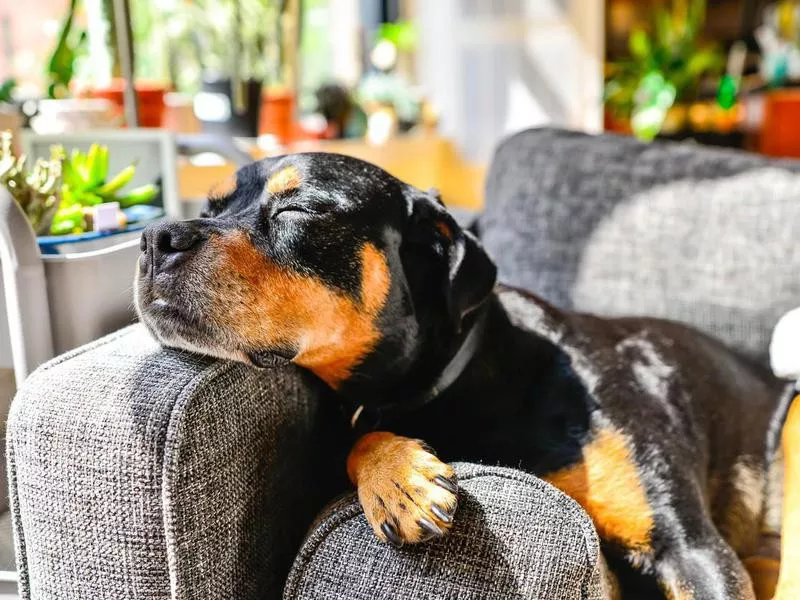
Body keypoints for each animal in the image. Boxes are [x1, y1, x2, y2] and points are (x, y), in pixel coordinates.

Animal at [134, 154, 796, 596]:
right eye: (210, 208)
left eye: (299, 209)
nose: (154, 237)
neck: (468, 380)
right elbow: (360, 438)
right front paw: (399, 477)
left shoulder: (689, 547)